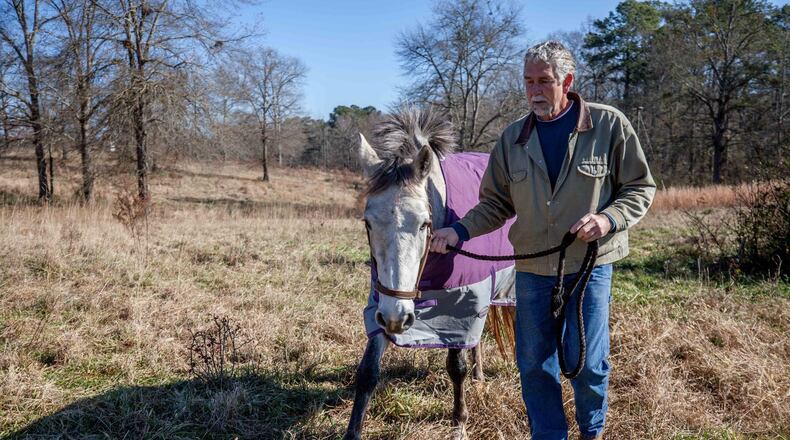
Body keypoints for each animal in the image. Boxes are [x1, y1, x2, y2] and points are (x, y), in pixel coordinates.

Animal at [344, 108, 517, 440]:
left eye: (424, 223)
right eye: (367, 222)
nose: (398, 319)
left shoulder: (461, 307)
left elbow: (456, 366)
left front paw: (459, 423)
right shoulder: (382, 304)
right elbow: (368, 371)